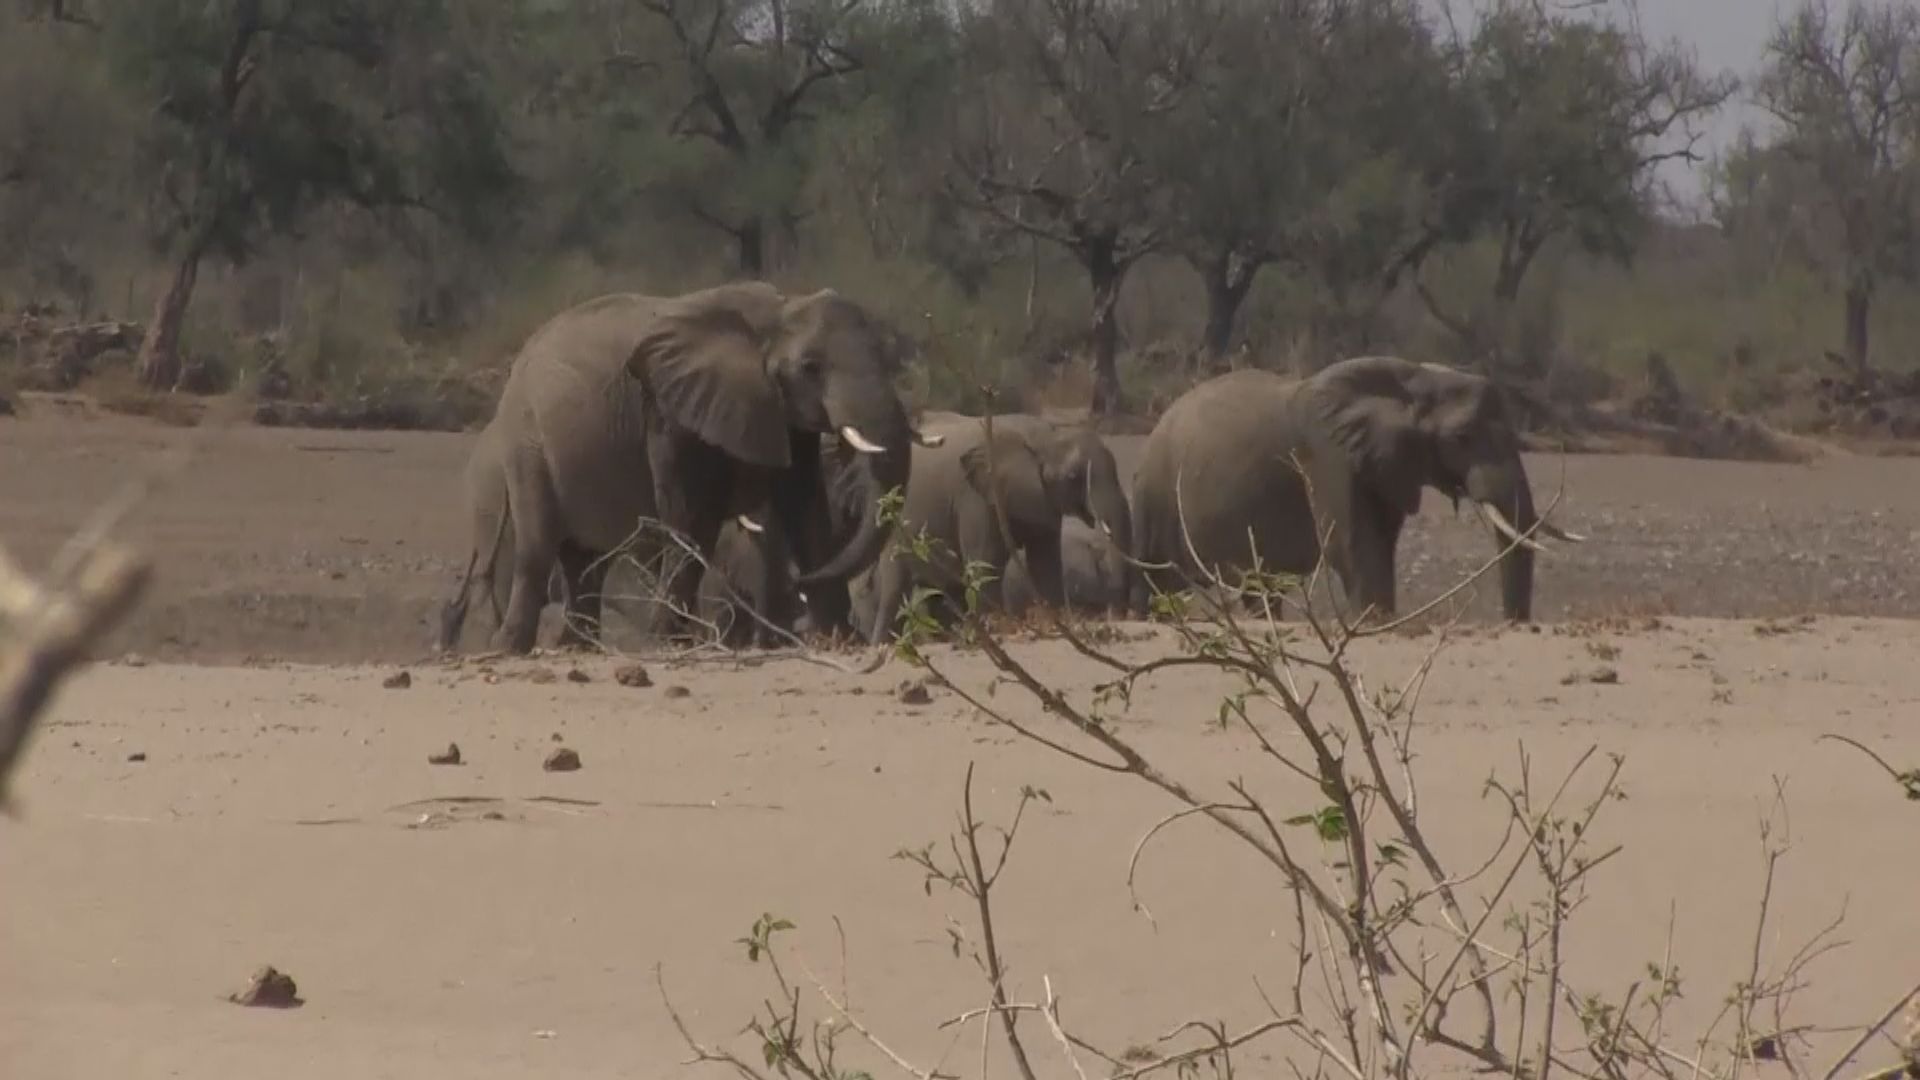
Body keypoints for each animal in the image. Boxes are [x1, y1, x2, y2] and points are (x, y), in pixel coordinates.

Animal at [433, 282, 921, 653]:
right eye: (810, 367)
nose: (798, 586)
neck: (777, 310)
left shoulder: (782, 414)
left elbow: (805, 509)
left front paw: (843, 639)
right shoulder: (670, 411)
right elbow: (691, 517)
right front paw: (671, 642)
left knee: (583, 563)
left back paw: (577, 648)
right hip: (527, 442)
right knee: (538, 547)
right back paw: (509, 648)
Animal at [867, 409, 1128, 645]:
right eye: (1074, 476)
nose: (1115, 613)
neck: (1044, 433)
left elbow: (1045, 564)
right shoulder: (976, 497)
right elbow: (986, 563)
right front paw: (999, 628)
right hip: (894, 522)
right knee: (894, 589)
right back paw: (881, 645)